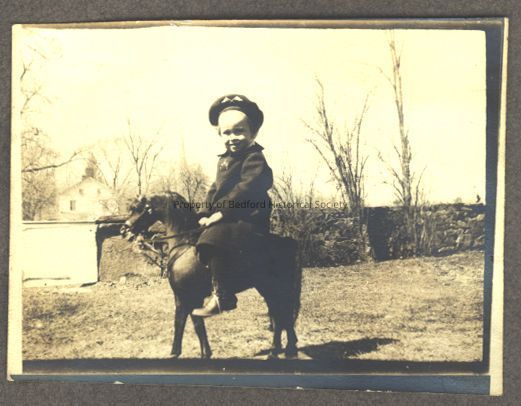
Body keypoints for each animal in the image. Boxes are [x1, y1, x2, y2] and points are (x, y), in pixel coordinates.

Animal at [121, 192, 301, 359]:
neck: (183, 246)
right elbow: (179, 321)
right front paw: (175, 353)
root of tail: (287, 242)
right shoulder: (180, 296)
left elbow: (196, 323)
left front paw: (205, 354)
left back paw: (278, 350)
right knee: (281, 313)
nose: (124, 230)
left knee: (280, 312)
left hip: (271, 286)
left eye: (139, 208)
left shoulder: (191, 297)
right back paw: (285, 349)